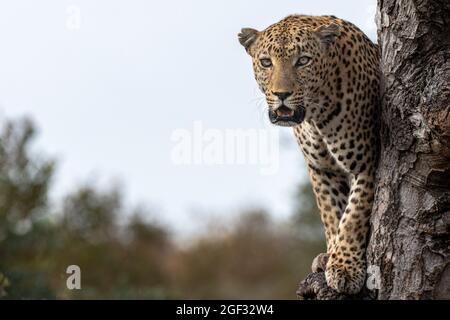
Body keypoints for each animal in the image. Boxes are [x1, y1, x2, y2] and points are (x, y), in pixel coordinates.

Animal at [239, 15, 380, 296]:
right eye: (266, 62)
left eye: (303, 60)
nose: (282, 94)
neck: (316, 115)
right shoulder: (321, 168)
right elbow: (332, 212)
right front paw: (330, 255)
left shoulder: (366, 161)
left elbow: (353, 215)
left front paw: (345, 267)